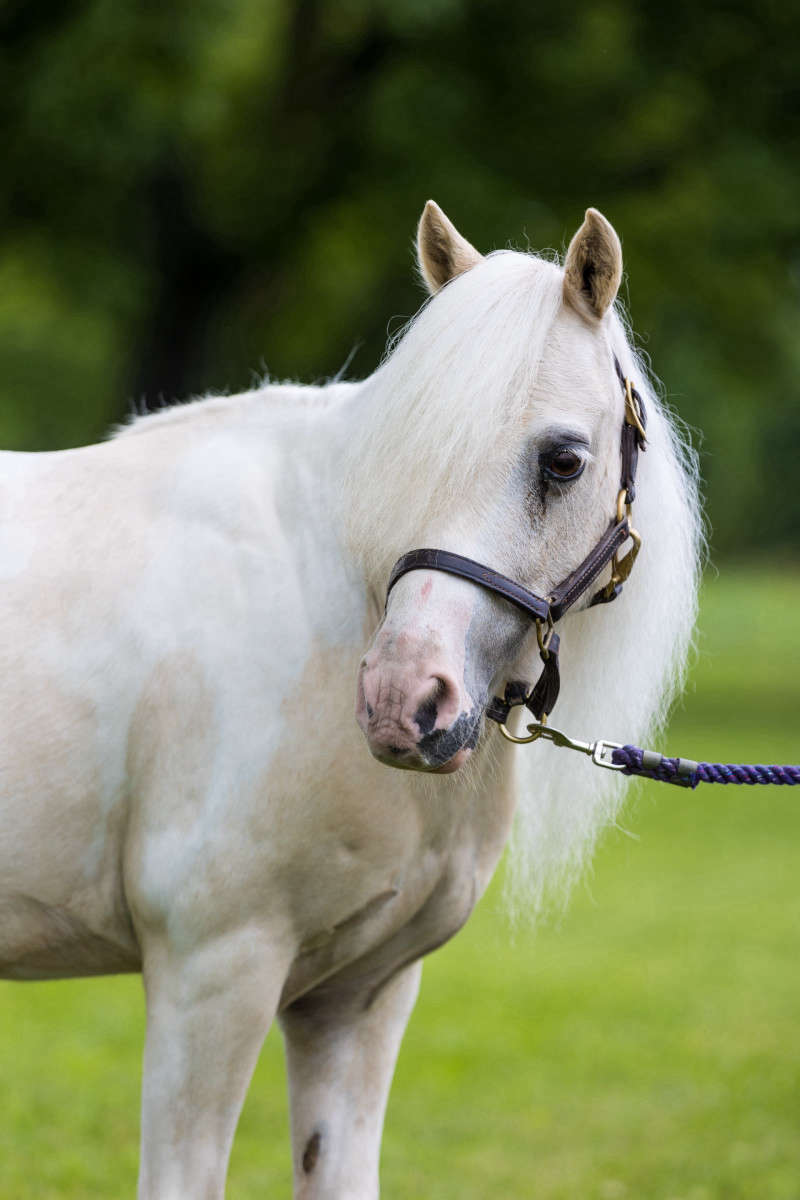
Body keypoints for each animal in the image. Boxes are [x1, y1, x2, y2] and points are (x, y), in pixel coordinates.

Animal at [0, 201, 695, 1195]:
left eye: (563, 462)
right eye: (404, 460)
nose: (406, 702)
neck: (316, 599)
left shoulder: (360, 994)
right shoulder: (211, 974)